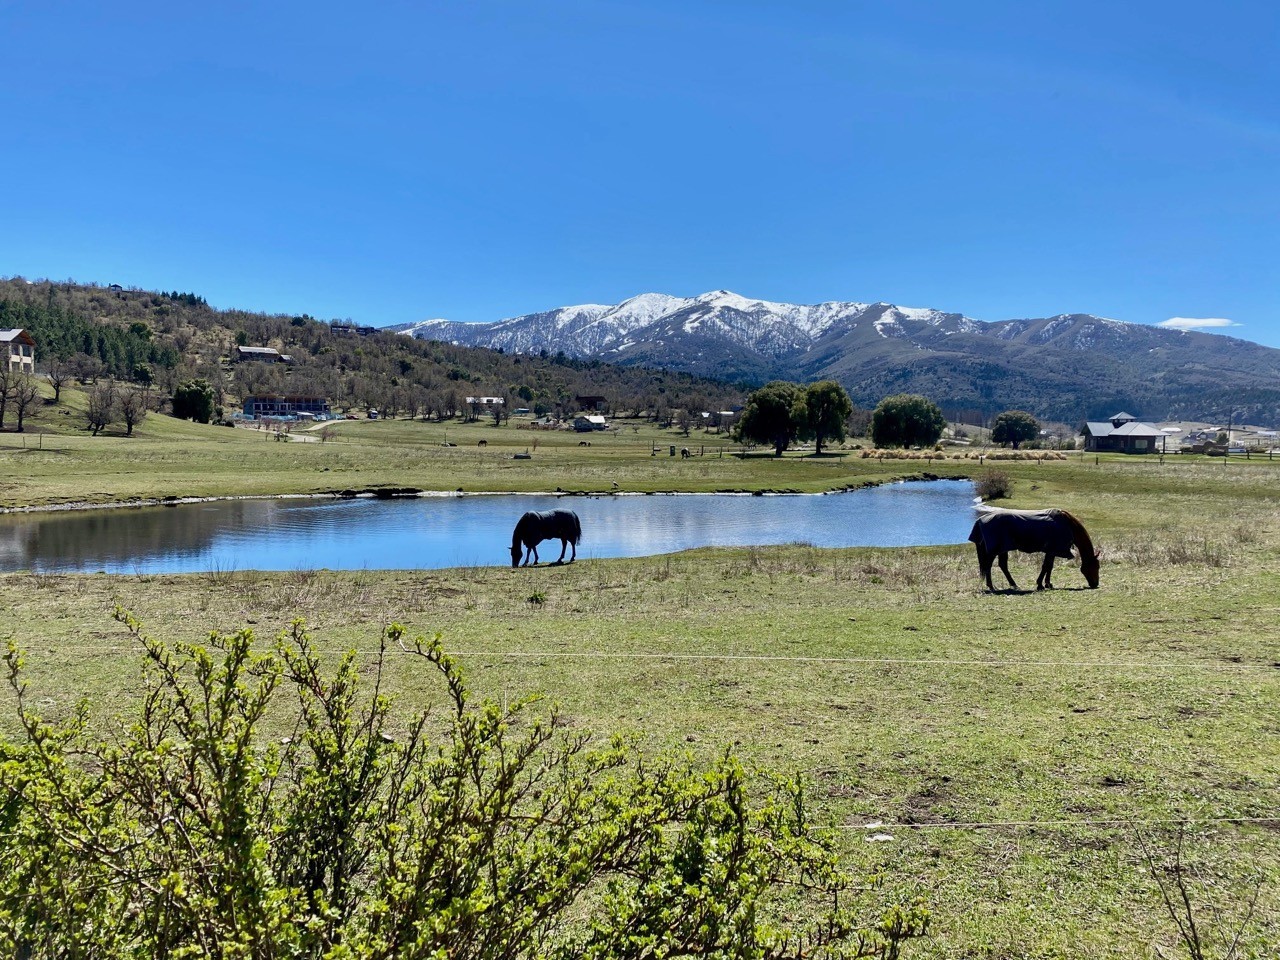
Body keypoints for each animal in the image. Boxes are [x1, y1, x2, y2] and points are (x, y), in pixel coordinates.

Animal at [967, 506, 1100, 591]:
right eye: (1096, 567)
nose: (1095, 584)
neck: (1068, 525)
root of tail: (980, 521)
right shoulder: (1052, 549)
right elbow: (1046, 566)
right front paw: (1040, 584)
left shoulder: (1052, 550)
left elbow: (1049, 566)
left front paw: (1048, 584)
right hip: (995, 550)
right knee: (988, 566)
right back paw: (991, 586)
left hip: (1002, 549)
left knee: (1001, 566)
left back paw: (1013, 585)